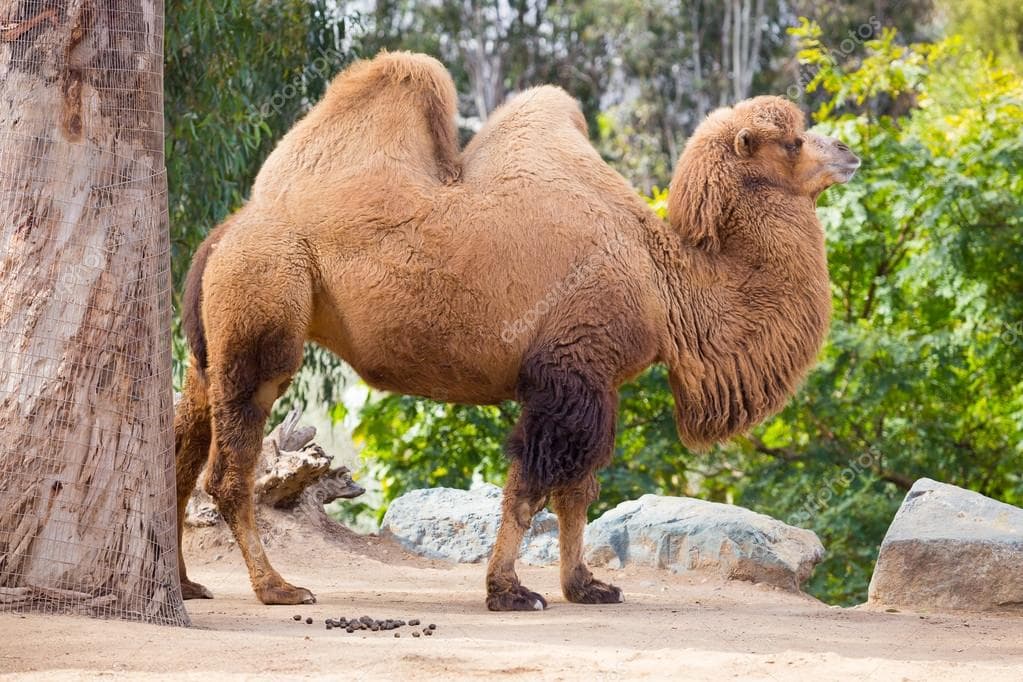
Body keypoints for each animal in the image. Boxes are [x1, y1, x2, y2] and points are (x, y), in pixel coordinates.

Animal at [174, 51, 860, 610]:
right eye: (793, 141)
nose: (851, 152)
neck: (666, 281)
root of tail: (226, 230)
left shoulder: (595, 378)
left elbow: (578, 490)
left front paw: (586, 586)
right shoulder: (568, 371)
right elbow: (533, 486)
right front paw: (509, 592)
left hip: (213, 343)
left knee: (181, 447)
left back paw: (185, 583)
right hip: (265, 308)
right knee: (227, 469)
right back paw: (277, 588)